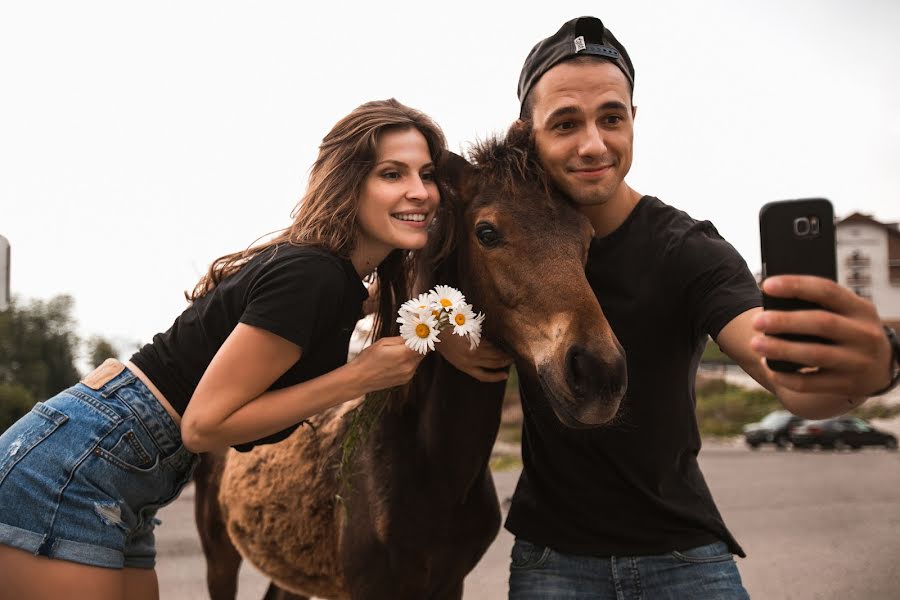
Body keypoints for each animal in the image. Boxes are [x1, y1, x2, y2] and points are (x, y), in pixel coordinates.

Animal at [192, 123, 624, 600]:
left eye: (587, 238)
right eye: (487, 232)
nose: (599, 372)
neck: (432, 472)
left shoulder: (449, 583)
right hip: (219, 557)